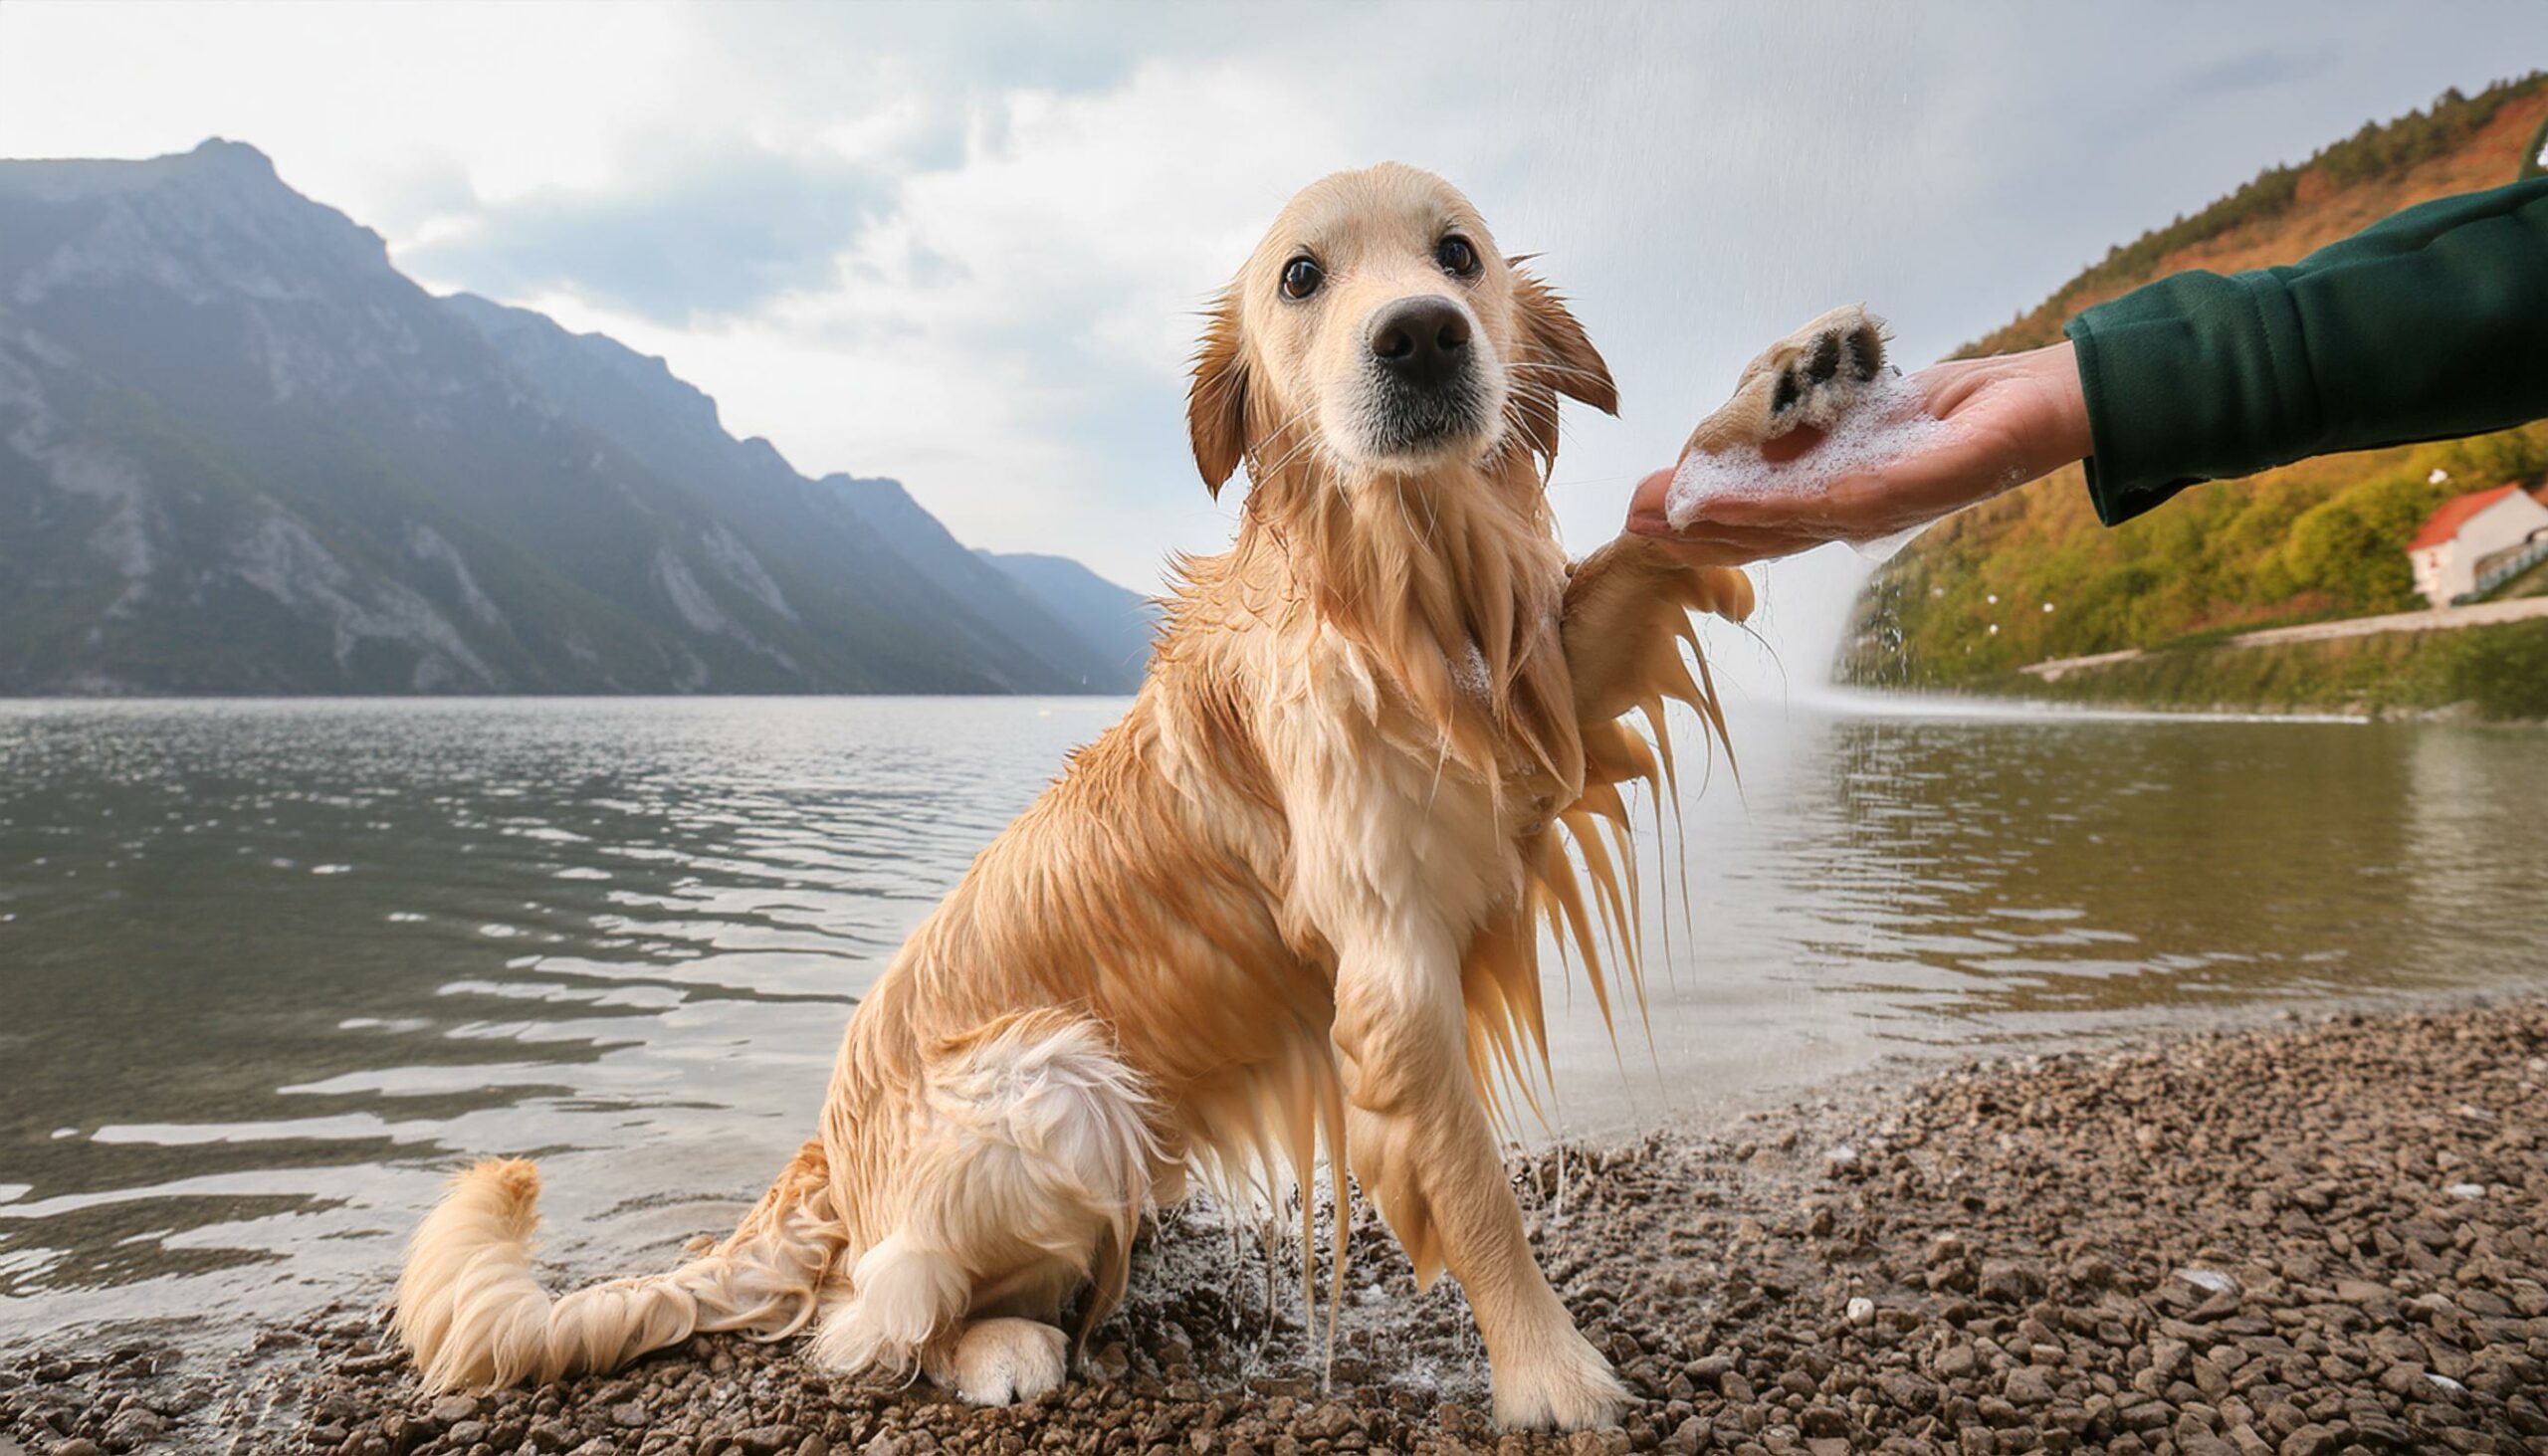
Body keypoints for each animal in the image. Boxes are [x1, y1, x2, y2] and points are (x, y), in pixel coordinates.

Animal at [392, 165, 1813, 1427]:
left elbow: (1629, 564)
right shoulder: (1389, 973)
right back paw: (1004, 1344)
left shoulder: (1539, 692)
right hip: (1057, 1079)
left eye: (1456, 253)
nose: (1419, 334)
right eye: (1302, 275)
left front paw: (1776, 416)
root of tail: (826, 1153)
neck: (1394, 585)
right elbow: (1474, 1186)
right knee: (870, 1317)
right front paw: (1548, 1375)